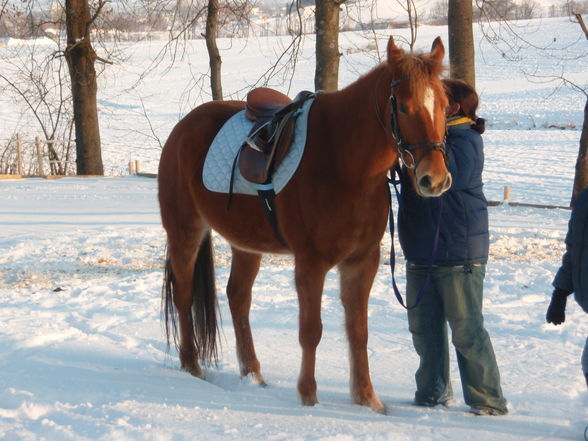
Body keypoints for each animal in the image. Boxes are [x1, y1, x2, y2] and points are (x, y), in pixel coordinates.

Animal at [158, 35, 452, 412]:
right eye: (403, 106)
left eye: (444, 104)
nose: (435, 179)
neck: (343, 161)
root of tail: (183, 128)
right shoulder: (311, 263)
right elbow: (311, 330)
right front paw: (308, 395)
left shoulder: (362, 262)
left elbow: (358, 330)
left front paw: (367, 397)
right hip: (185, 232)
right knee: (183, 296)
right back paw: (191, 363)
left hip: (246, 244)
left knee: (238, 298)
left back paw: (253, 373)